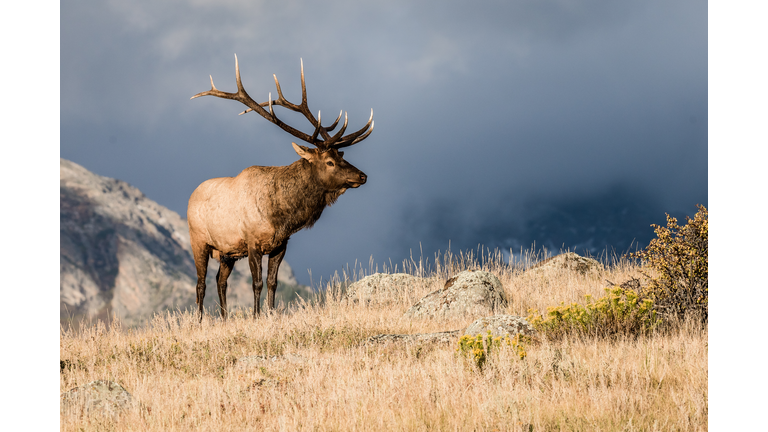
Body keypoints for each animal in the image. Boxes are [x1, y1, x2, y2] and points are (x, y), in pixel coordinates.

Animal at [189, 54, 376, 320]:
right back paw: (200, 321)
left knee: (220, 280)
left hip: (227, 252)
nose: (362, 176)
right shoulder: (252, 242)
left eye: (342, 156)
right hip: (199, 241)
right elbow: (257, 283)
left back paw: (224, 319)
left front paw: (270, 313)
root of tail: (191, 195)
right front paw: (256, 316)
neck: (281, 215)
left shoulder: (280, 245)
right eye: (329, 162)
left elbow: (272, 282)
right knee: (201, 283)